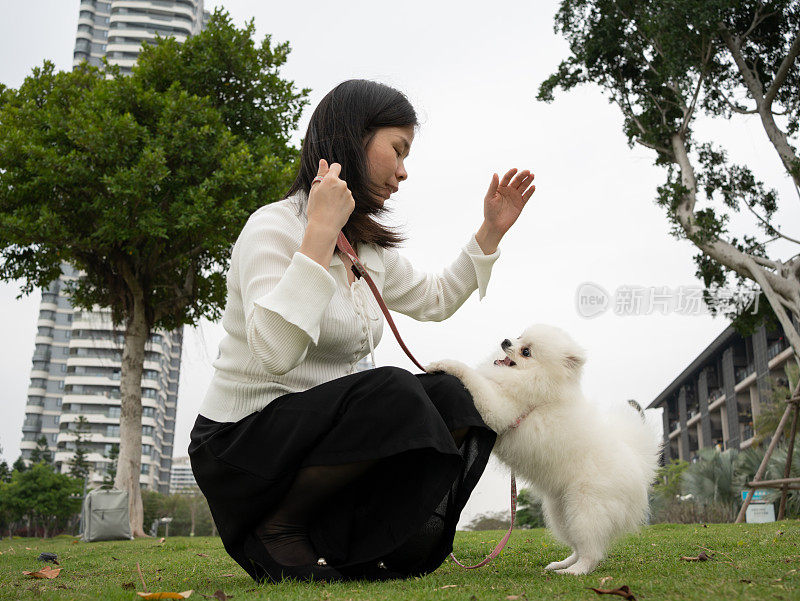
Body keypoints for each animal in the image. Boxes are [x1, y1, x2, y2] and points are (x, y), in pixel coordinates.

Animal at [428, 322, 660, 576]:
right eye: (520, 337)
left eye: (526, 352)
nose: (506, 341)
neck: (539, 383)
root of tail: (638, 466)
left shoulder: (498, 408)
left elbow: (473, 377)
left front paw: (446, 364)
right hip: (561, 512)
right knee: (578, 546)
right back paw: (562, 564)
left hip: (586, 509)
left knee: (591, 552)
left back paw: (574, 571)